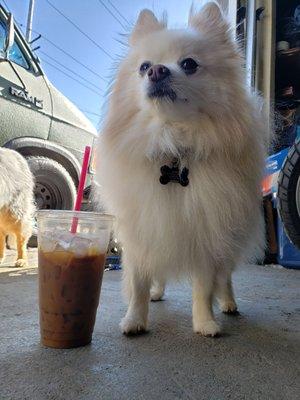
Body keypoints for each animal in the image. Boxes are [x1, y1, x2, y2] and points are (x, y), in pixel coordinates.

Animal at [96, 1, 268, 336]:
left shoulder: (206, 233)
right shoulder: (142, 231)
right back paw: (157, 293)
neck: (173, 146)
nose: (157, 70)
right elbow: (138, 283)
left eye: (189, 64)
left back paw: (228, 303)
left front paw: (204, 322)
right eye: (143, 66)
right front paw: (135, 319)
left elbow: (204, 286)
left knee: (225, 276)